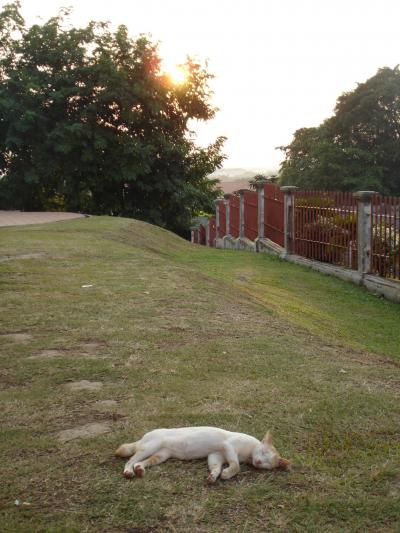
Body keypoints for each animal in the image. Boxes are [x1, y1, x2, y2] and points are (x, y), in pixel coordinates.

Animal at [115, 426, 290, 480]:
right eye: (263, 452)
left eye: (268, 463)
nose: (259, 462)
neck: (248, 455)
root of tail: (143, 437)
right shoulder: (228, 445)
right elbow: (236, 465)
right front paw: (227, 473)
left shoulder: (216, 455)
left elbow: (216, 466)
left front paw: (214, 475)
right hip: (150, 445)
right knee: (130, 460)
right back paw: (128, 471)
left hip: (161, 456)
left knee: (140, 462)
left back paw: (139, 469)